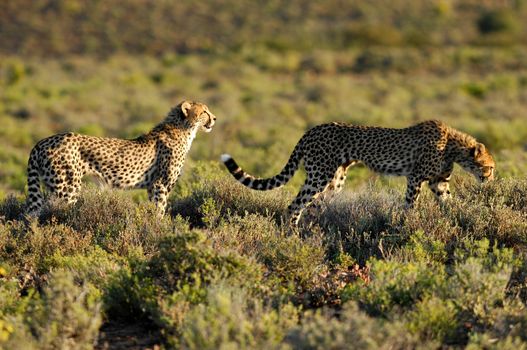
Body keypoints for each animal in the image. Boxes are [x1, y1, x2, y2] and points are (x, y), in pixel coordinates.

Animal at [26, 100, 217, 217]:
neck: (184, 129)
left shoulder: (152, 187)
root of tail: (42, 141)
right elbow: (160, 210)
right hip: (67, 188)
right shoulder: (160, 184)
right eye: (204, 111)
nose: (215, 118)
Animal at [221, 120, 498, 227]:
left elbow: (449, 202)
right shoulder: (416, 178)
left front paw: (461, 218)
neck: (453, 146)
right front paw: (407, 224)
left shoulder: (438, 182)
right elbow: (411, 205)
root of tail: (312, 129)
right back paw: (292, 235)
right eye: (490, 167)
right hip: (319, 175)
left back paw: (313, 232)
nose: (491, 178)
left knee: (313, 207)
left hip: (336, 179)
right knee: (295, 205)